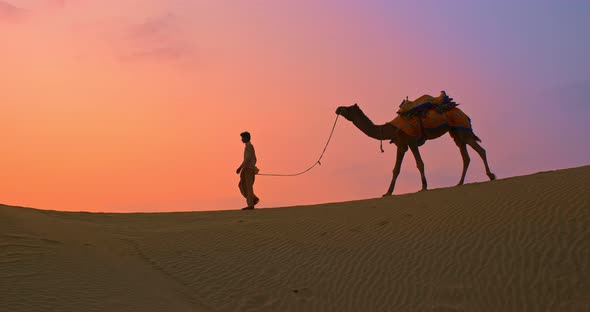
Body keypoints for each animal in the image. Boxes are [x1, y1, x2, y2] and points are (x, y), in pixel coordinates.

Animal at [336, 102, 498, 196]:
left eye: (348, 108)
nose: (338, 108)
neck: (391, 128)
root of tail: (465, 115)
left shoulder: (411, 140)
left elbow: (419, 163)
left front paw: (424, 187)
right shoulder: (402, 144)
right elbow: (396, 169)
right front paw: (387, 192)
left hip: (461, 128)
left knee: (479, 150)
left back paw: (491, 176)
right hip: (455, 132)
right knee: (466, 156)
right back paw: (459, 182)